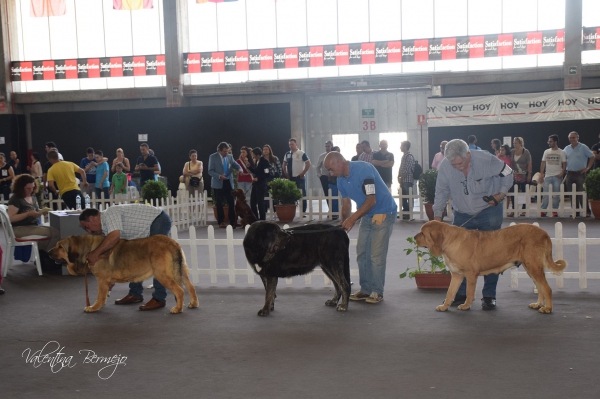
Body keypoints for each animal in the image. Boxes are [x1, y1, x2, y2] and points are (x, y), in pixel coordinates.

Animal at [48, 236, 199, 314]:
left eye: (60, 247)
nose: (48, 252)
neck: (89, 248)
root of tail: (172, 242)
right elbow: (104, 294)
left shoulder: (102, 280)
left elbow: (100, 295)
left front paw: (94, 307)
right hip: (182, 272)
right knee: (191, 287)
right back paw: (193, 303)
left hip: (162, 274)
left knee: (179, 291)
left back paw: (178, 308)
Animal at [414, 220, 564, 314]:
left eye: (422, 233)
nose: (414, 237)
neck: (449, 241)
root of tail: (544, 233)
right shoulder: (457, 275)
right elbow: (450, 292)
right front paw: (444, 307)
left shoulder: (471, 274)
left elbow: (469, 292)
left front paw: (466, 306)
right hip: (530, 268)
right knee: (540, 288)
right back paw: (537, 304)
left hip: (533, 266)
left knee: (547, 288)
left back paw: (547, 309)